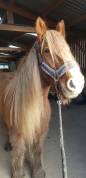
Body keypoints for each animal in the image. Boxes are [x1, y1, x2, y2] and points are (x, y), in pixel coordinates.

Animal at [0, 17, 84, 178]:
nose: (76, 83)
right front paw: (18, 173)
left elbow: (37, 150)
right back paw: (8, 145)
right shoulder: (18, 134)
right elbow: (18, 153)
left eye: (69, 49)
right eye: (47, 50)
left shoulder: (41, 132)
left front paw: (38, 171)